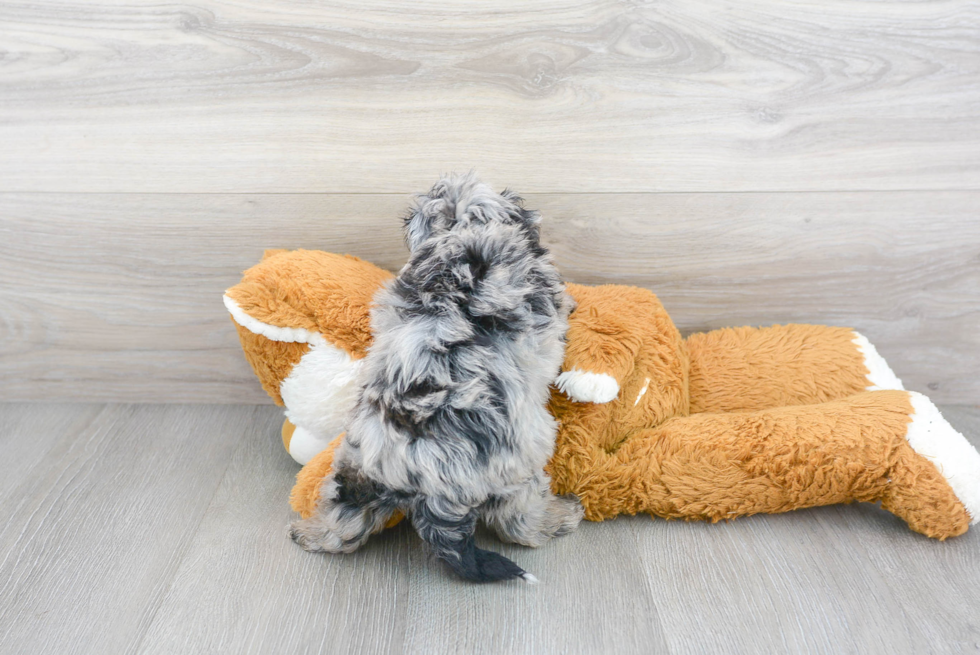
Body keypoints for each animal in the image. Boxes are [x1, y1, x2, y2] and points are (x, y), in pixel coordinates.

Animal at [290, 174, 580, 584]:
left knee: (344, 520)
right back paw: (557, 518)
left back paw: (311, 533)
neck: (458, 231)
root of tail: (425, 477)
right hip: (518, 468)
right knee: (519, 521)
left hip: (357, 472)